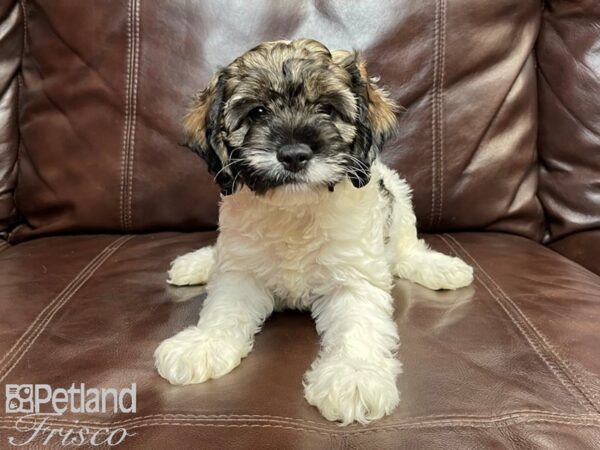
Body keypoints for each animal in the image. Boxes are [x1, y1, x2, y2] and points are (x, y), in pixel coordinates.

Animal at [156, 39, 474, 426]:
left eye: (327, 109)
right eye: (257, 112)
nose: (293, 154)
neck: (297, 207)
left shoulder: (354, 278)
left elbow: (358, 326)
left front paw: (354, 376)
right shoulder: (241, 271)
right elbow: (223, 309)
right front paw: (202, 344)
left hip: (399, 199)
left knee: (405, 250)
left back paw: (440, 268)